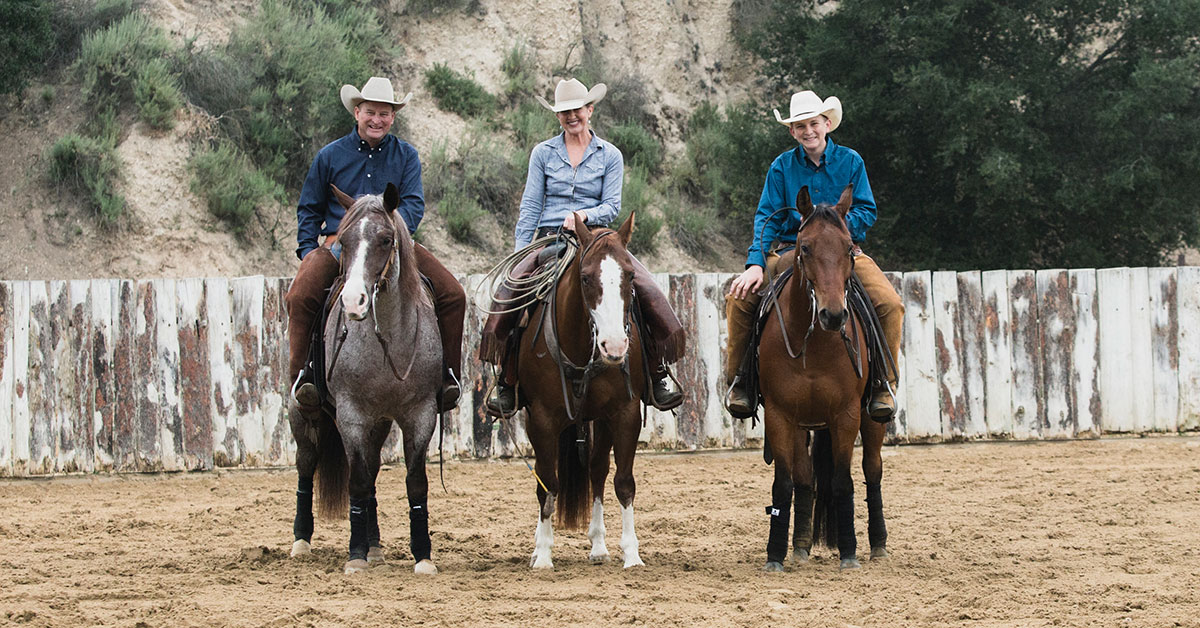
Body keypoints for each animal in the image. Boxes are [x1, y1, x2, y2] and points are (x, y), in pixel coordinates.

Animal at [286, 180, 446, 573]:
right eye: (344, 241)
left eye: (386, 239)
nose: (353, 302)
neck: (390, 337)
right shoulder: (352, 415)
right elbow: (356, 481)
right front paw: (355, 556)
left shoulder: (420, 414)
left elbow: (415, 482)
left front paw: (423, 555)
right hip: (304, 413)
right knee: (306, 464)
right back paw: (302, 540)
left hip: (380, 422)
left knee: (372, 470)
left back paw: (375, 547)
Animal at [513, 212, 648, 569]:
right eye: (586, 278)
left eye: (630, 275)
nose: (614, 346)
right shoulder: (542, 419)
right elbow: (548, 485)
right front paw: (544, 553)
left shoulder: (625, 414)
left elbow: (623, 483)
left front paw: (632, 554)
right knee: (547, 476)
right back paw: (538, 549)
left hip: (598, 420)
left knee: (597, 471)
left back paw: (599, 545)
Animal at [758, 184, 892, 571]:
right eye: (804, 247)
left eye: (848, 247)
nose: (833, 315)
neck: (816, 344)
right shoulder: (779, 415)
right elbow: (784, 483)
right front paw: (775, 555)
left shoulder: (845, 414)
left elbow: (842, 481)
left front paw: (848, 553)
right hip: (803, 424)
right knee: (804, 480)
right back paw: (801, 546)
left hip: (870, 418)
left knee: (872, 470)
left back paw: (878, 544)